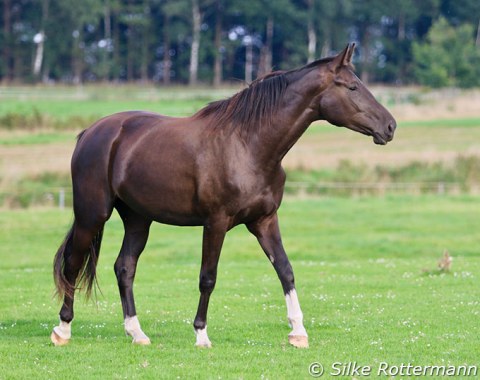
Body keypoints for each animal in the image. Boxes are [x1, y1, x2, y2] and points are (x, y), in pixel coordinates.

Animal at [51, 43, 398, 348]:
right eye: (352, 87)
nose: (390, 126)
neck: (248, 146)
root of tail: (91, 132)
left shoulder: (264, 220)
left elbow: (285, 270)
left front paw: (298, 333)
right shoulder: (215, 223)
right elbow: (208, 277)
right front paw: (201, 335)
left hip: (138, 219)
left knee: (125, 267)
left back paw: (137, 334)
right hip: (92, 215)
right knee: (73, 263)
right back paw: (63, 330)